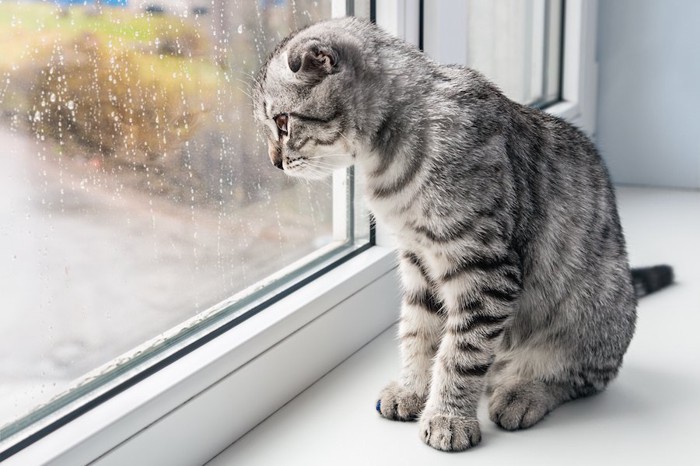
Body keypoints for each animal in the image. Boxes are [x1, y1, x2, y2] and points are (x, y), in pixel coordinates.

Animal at [252, 16, 672, 450]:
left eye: (282, 123)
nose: (275, 162)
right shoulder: (418, 260)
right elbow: (419, 332)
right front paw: (413, 389)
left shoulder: (484, 269)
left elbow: (461, 352)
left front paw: (448, 416)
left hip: (594, 312)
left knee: (576, 375)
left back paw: (523, 390)